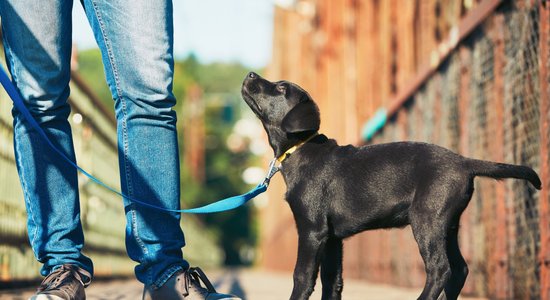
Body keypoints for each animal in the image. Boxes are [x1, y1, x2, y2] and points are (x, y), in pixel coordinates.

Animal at [243, 72, 544, 300]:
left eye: (281, 88)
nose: (250, 74)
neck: (301, 148)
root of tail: (464, 162)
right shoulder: (332, 238)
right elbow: (333, 282)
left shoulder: (312, 230)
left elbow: (302, 277)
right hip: (448, 224)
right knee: (459, 270)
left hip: (427, 219)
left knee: (440, 269)